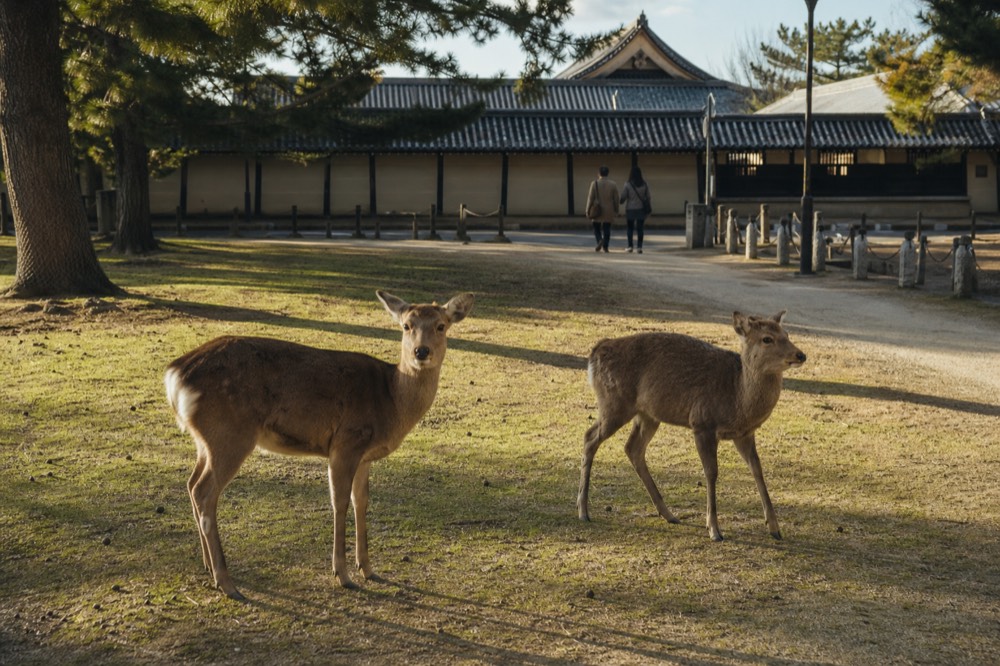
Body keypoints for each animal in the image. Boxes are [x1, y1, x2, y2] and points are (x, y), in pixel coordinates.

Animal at [164, 290, 474, 600]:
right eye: (406, 325)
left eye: (441, 326)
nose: (421, 352)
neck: (391, 400)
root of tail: (174, 375)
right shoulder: (346, 442)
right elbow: (340, 502)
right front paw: (343, 574)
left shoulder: (365, 455)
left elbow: (362, 501)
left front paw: (368, 568)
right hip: (231, 433)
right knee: (204, 491)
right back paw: (226, 582)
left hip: (206, 439)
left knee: (191, 484)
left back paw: (208, 566)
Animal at [578, 311, 806, 542]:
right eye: (767, 338)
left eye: (787, 334)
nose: (800, 355)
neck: (738, 397)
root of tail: (596, 352)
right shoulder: (702, 423)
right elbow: (711, 472)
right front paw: (714, 529)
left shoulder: (744, 433)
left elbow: (757, 469)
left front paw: (775, 528)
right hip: (614, 403)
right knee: (590, 437)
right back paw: (583, 511)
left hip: (648, 415)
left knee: (632, 448)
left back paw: (669, 514)